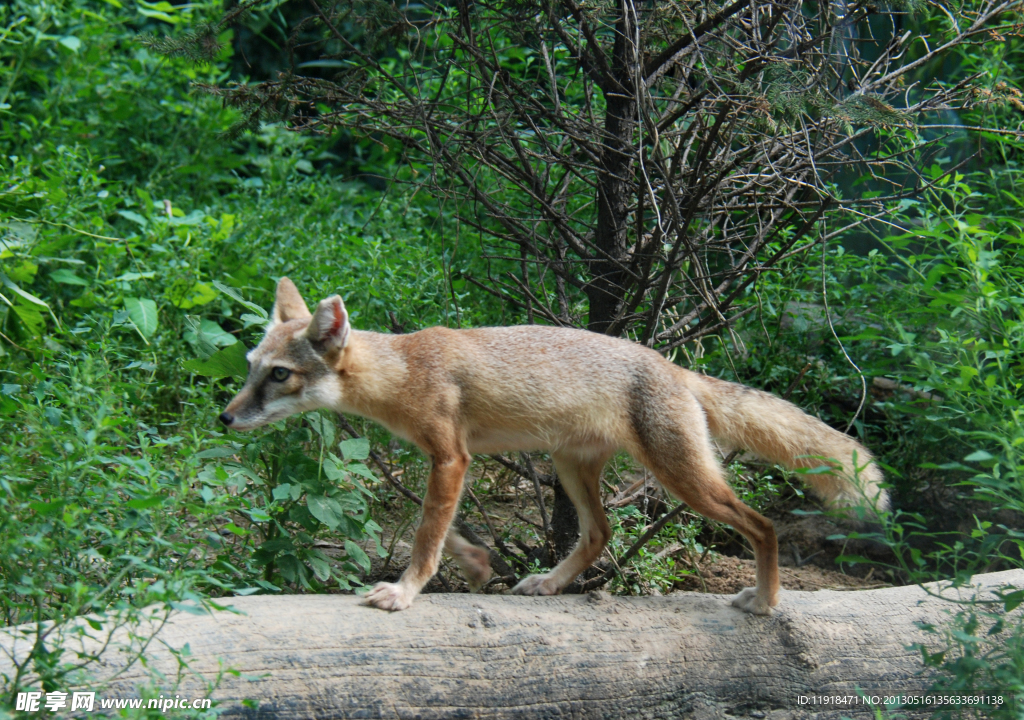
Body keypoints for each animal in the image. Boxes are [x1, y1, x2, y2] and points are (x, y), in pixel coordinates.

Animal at [222, 278, 888, 618]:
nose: (224, 417)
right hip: (571, 468)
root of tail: (674, 367)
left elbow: (424, 537)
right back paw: (548, 583)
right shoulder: (447, 461)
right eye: (251, 367)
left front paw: (406, 592)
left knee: (763, 525)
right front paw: (478, 565)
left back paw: (767, 602)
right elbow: (445, 530)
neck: (405, 369)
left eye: (279, 375)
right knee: (600, 533)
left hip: (684, 479)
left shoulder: (451, 458)